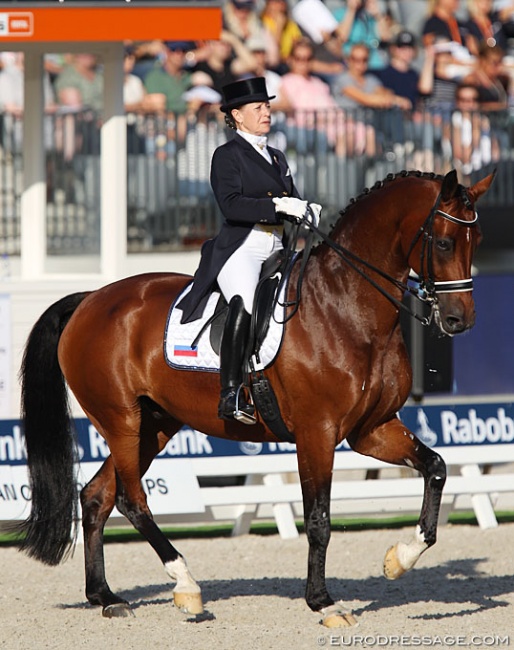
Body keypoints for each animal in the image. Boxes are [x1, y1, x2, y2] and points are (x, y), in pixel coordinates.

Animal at [18, 170, 492, 624]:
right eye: (445, 241)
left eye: (478, 241)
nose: (460, 320)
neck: (345, 307)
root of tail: (90, 299)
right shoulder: (317, 433)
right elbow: (318, 519)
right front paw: (323, 603)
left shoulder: (370, 429)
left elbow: (435, 467)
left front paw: (400, 559)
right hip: (122, 421)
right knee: (131, 500)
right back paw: (186, 585)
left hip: (153, 426)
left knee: (97, 496)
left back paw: (106, 597)